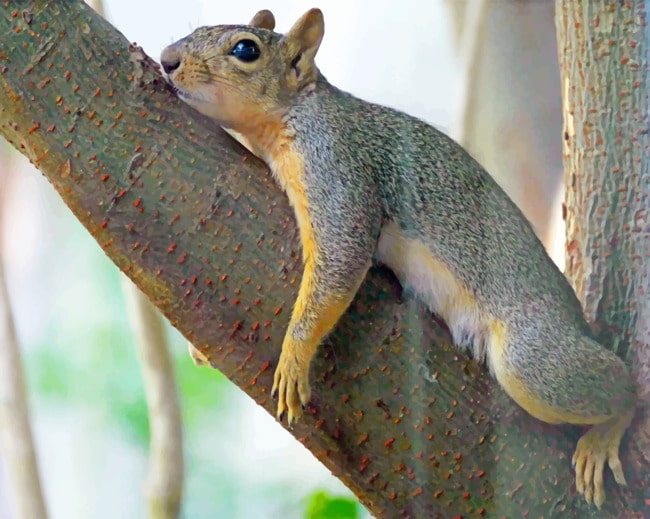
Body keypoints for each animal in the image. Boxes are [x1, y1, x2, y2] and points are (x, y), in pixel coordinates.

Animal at [160, 8, 637, 507]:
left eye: (245, 50)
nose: (166, 59)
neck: (294, 116)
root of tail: (575, 321)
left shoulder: (338, 168)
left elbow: (341, 259)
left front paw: (293, 356)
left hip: (532, 357)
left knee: (620, 389)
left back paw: (608, 430)